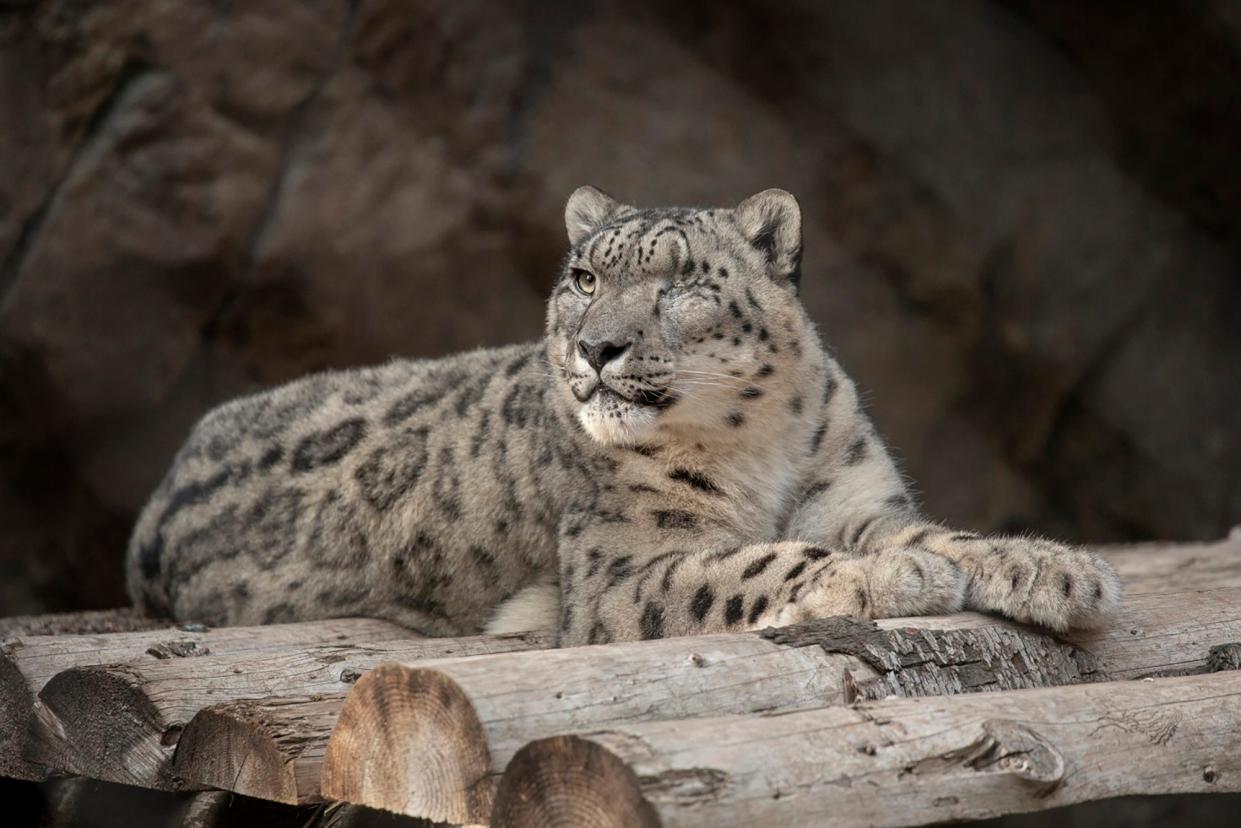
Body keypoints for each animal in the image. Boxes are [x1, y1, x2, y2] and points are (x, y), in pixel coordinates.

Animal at [125, 184, 1126, 645]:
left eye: (680, 281)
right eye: (582, 278)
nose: (596, 346)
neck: (759, 446)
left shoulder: (854, 500)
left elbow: (935, 534)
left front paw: (1053, 569)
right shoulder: (624, 567)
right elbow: (754, 561)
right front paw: (891, 579)